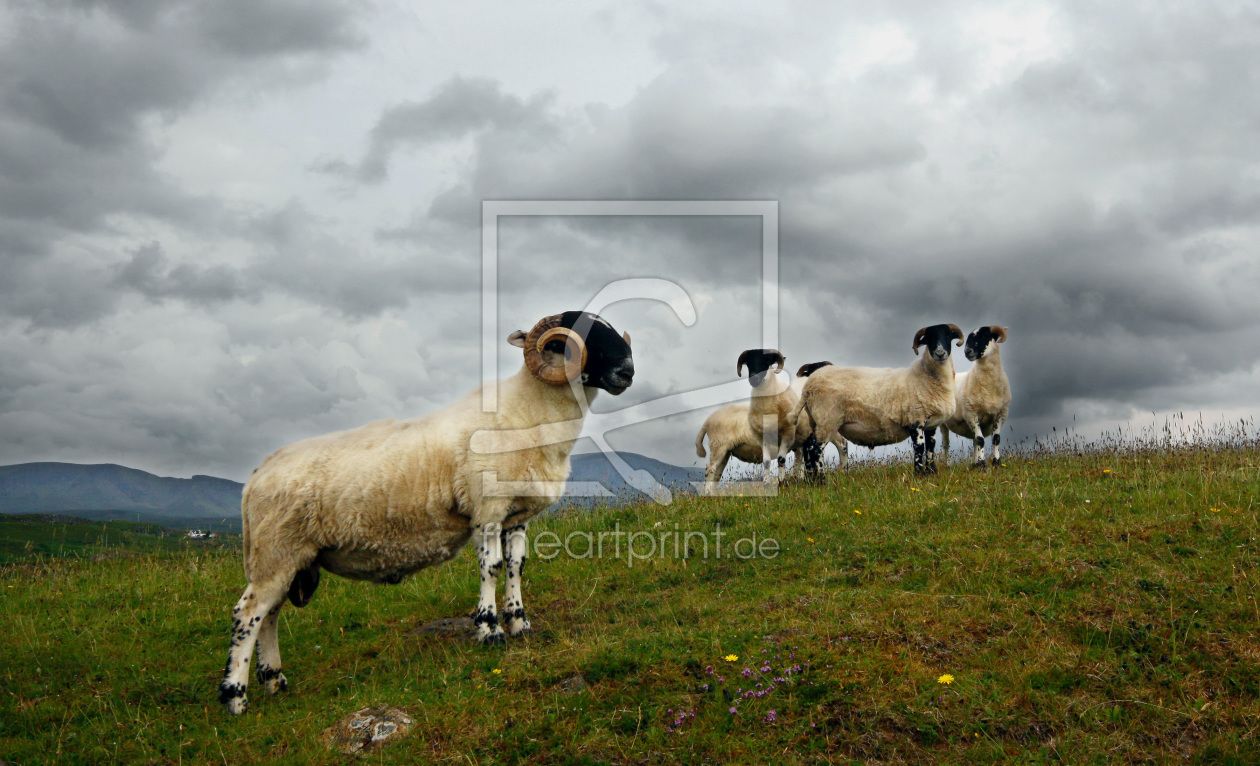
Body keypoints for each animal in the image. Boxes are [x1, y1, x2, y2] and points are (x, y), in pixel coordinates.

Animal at [216, 309, 635, 710]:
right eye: (578, 336)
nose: (628, 371)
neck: (529, 414)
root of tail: (256, 475)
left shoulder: (517, 517)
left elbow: (516, 567)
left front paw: (520, 624)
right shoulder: (487, 510)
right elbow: (491, 567)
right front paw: (490, 630)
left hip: (289, 557)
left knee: (269, 615)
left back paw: (275, 681)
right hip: (276, 549)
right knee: (248, 613)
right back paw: (236, 696)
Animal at [796, 325, 962, 478]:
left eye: (948, 335)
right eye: (928, 338)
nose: (940, 353)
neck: (927, 377)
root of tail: (809, 386)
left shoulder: (931, 425)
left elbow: (931, 449)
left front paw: (931, 472)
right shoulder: (915, 419)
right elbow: (919, 449)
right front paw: (919, 473)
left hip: (815, 421)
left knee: (809, 446)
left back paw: (811, 480)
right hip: (827, 420)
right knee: (816, 449)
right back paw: (821, 480)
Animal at [942, 325, 1008, 466]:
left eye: (985, 335)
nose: (967, 351)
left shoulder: (1000, 413)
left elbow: (996, 439)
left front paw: (996, 462)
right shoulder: (971, 413)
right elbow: (980, 440)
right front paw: (982, 463)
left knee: (973, 442)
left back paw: (974, 462)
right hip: (941, 423)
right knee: (945, 445)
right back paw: (946, 465)